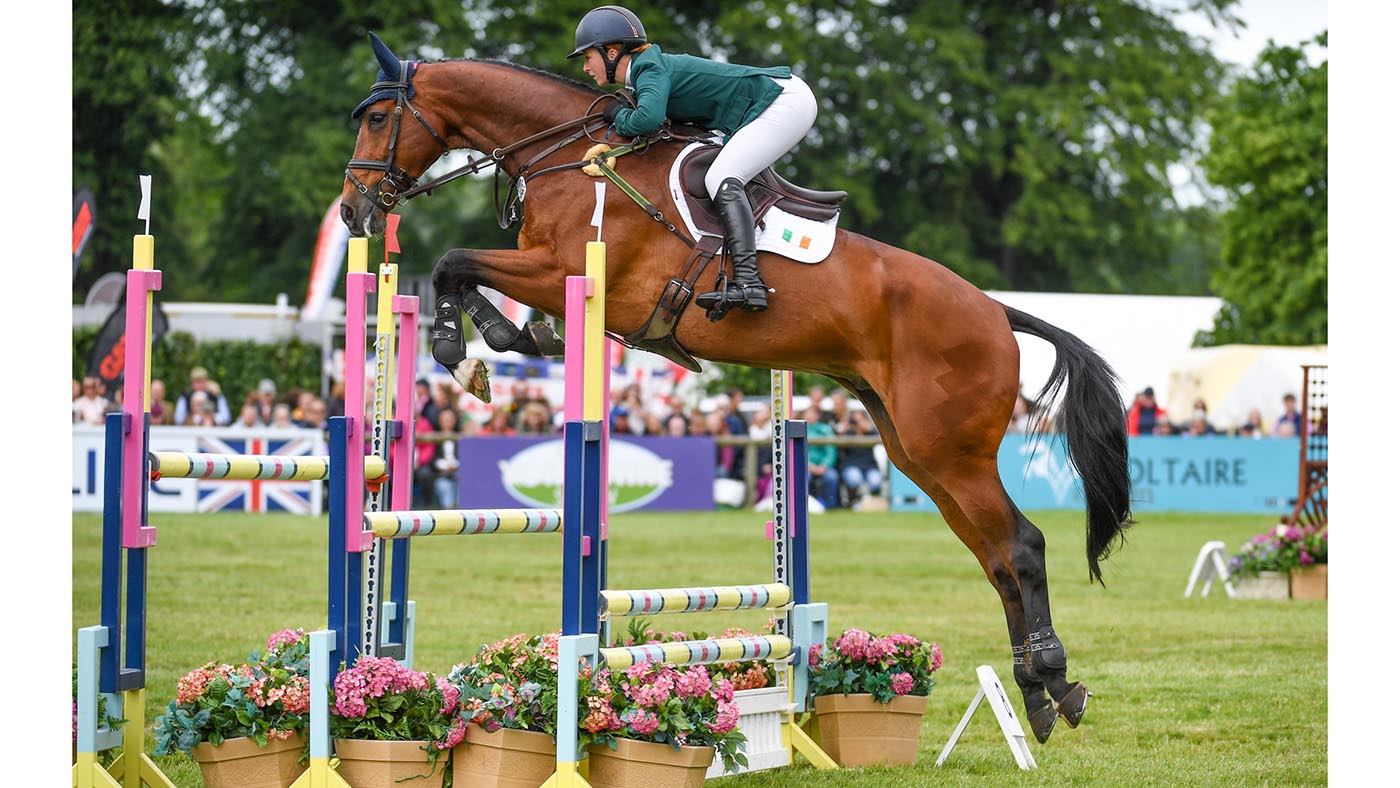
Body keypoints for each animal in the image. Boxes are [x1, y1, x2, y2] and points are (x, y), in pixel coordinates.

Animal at [339, 35, 1132, 744]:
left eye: (377, 117)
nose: (352, 212)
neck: (567, 153)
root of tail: (996, 311)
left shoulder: (564, 270)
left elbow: (452, 259)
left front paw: (471, 349)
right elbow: (460, 268)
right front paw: (508, 345)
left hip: (952, 453)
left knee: (1022, 546)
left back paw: (1053, 682)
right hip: (917, 455)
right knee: (995, 558)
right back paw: (1038, 695)